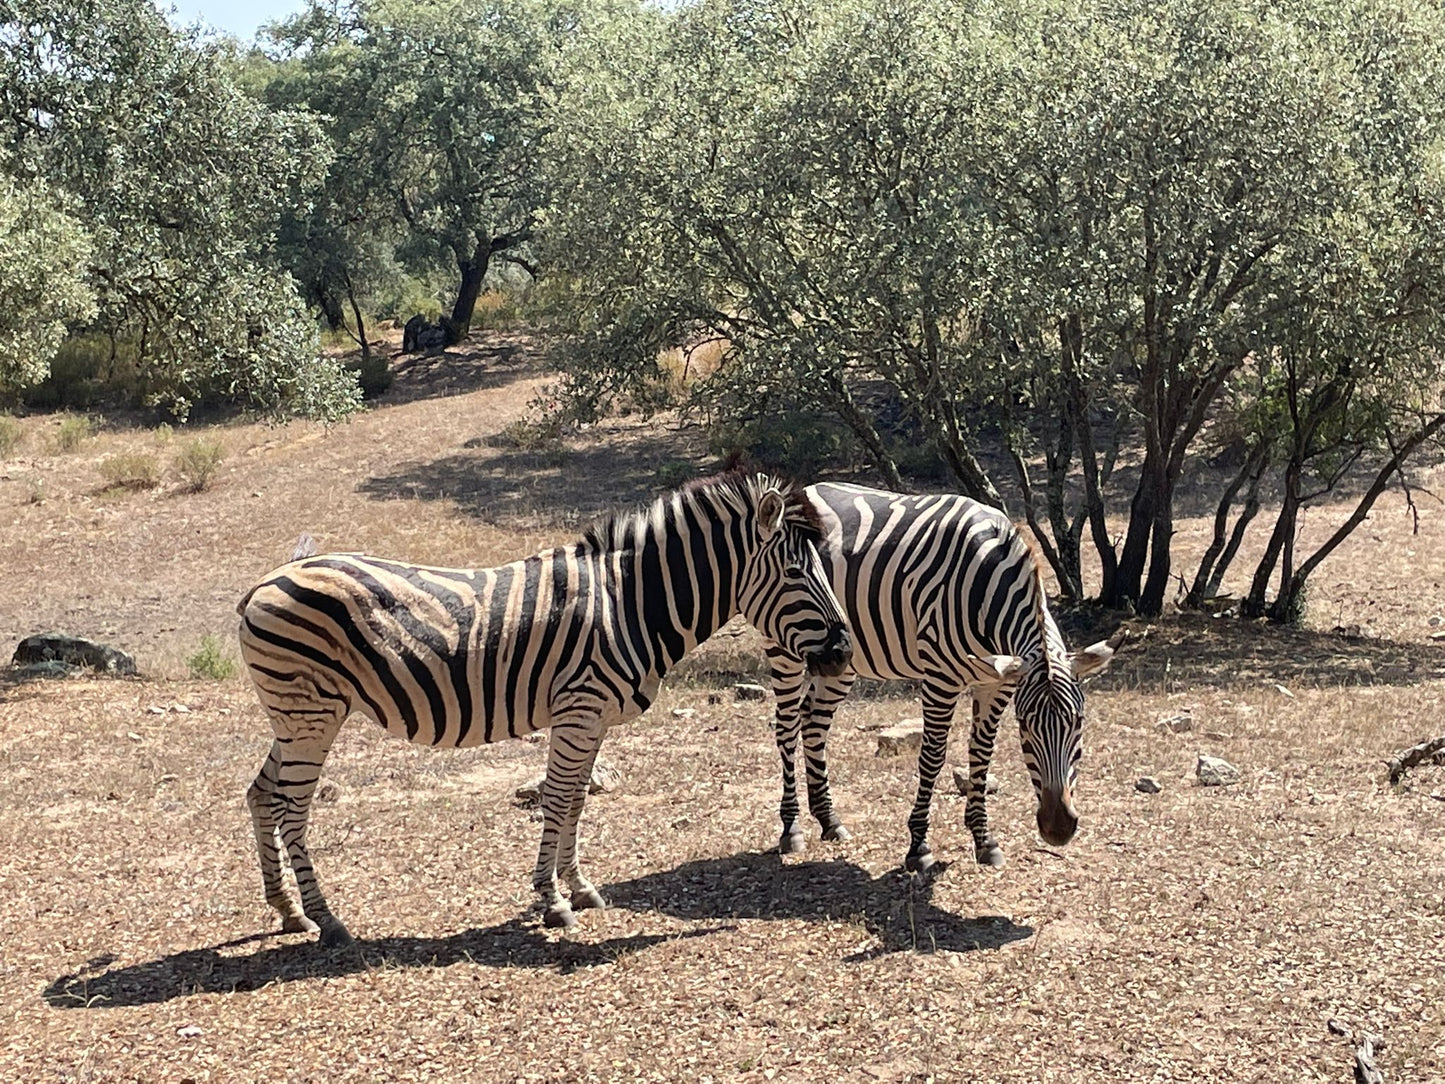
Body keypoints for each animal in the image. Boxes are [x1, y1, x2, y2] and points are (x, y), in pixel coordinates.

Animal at [234, 471, 843, 948]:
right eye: (796, 574)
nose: (841, 653)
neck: (631, 604)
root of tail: (265, 580)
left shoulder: (592, 718)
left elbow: (575, 800)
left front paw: (580, 887)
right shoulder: (579, 708)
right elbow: (555, 799)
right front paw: (553, 901)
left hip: (296, 717)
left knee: (261, 794)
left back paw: (288, 912)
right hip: (311, 714)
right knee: (292, 808)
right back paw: (328, 920)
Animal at [768, 482, 1115, 872]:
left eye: (1079, 722)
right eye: (1025, 727)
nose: (1058, 828)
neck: (987, 589)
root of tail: (809, 488)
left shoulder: (997, 683)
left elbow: (982, 753)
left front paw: (983, 838)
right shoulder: (940, 679)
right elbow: (933, 756)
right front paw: (919, 845)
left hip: (841, 659)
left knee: (813, 723)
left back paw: (829, 820)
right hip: (784, 646)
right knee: (786, 726)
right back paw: (791, 828)